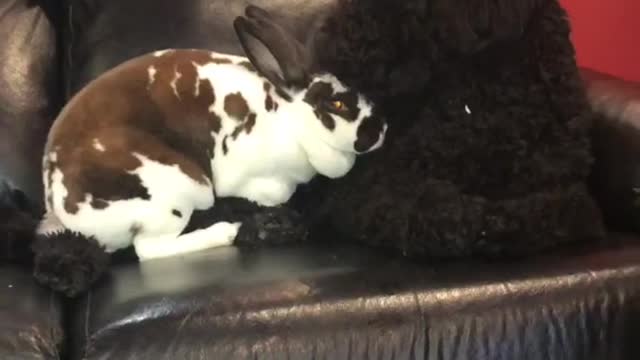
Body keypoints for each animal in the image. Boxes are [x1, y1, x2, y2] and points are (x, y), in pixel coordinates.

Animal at [37, 5, 388, 262]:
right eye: (337, 104)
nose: (381, 129)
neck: (288, 117)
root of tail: (59, 209)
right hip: (181, 192)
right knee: (149, 250)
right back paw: (227, 231)